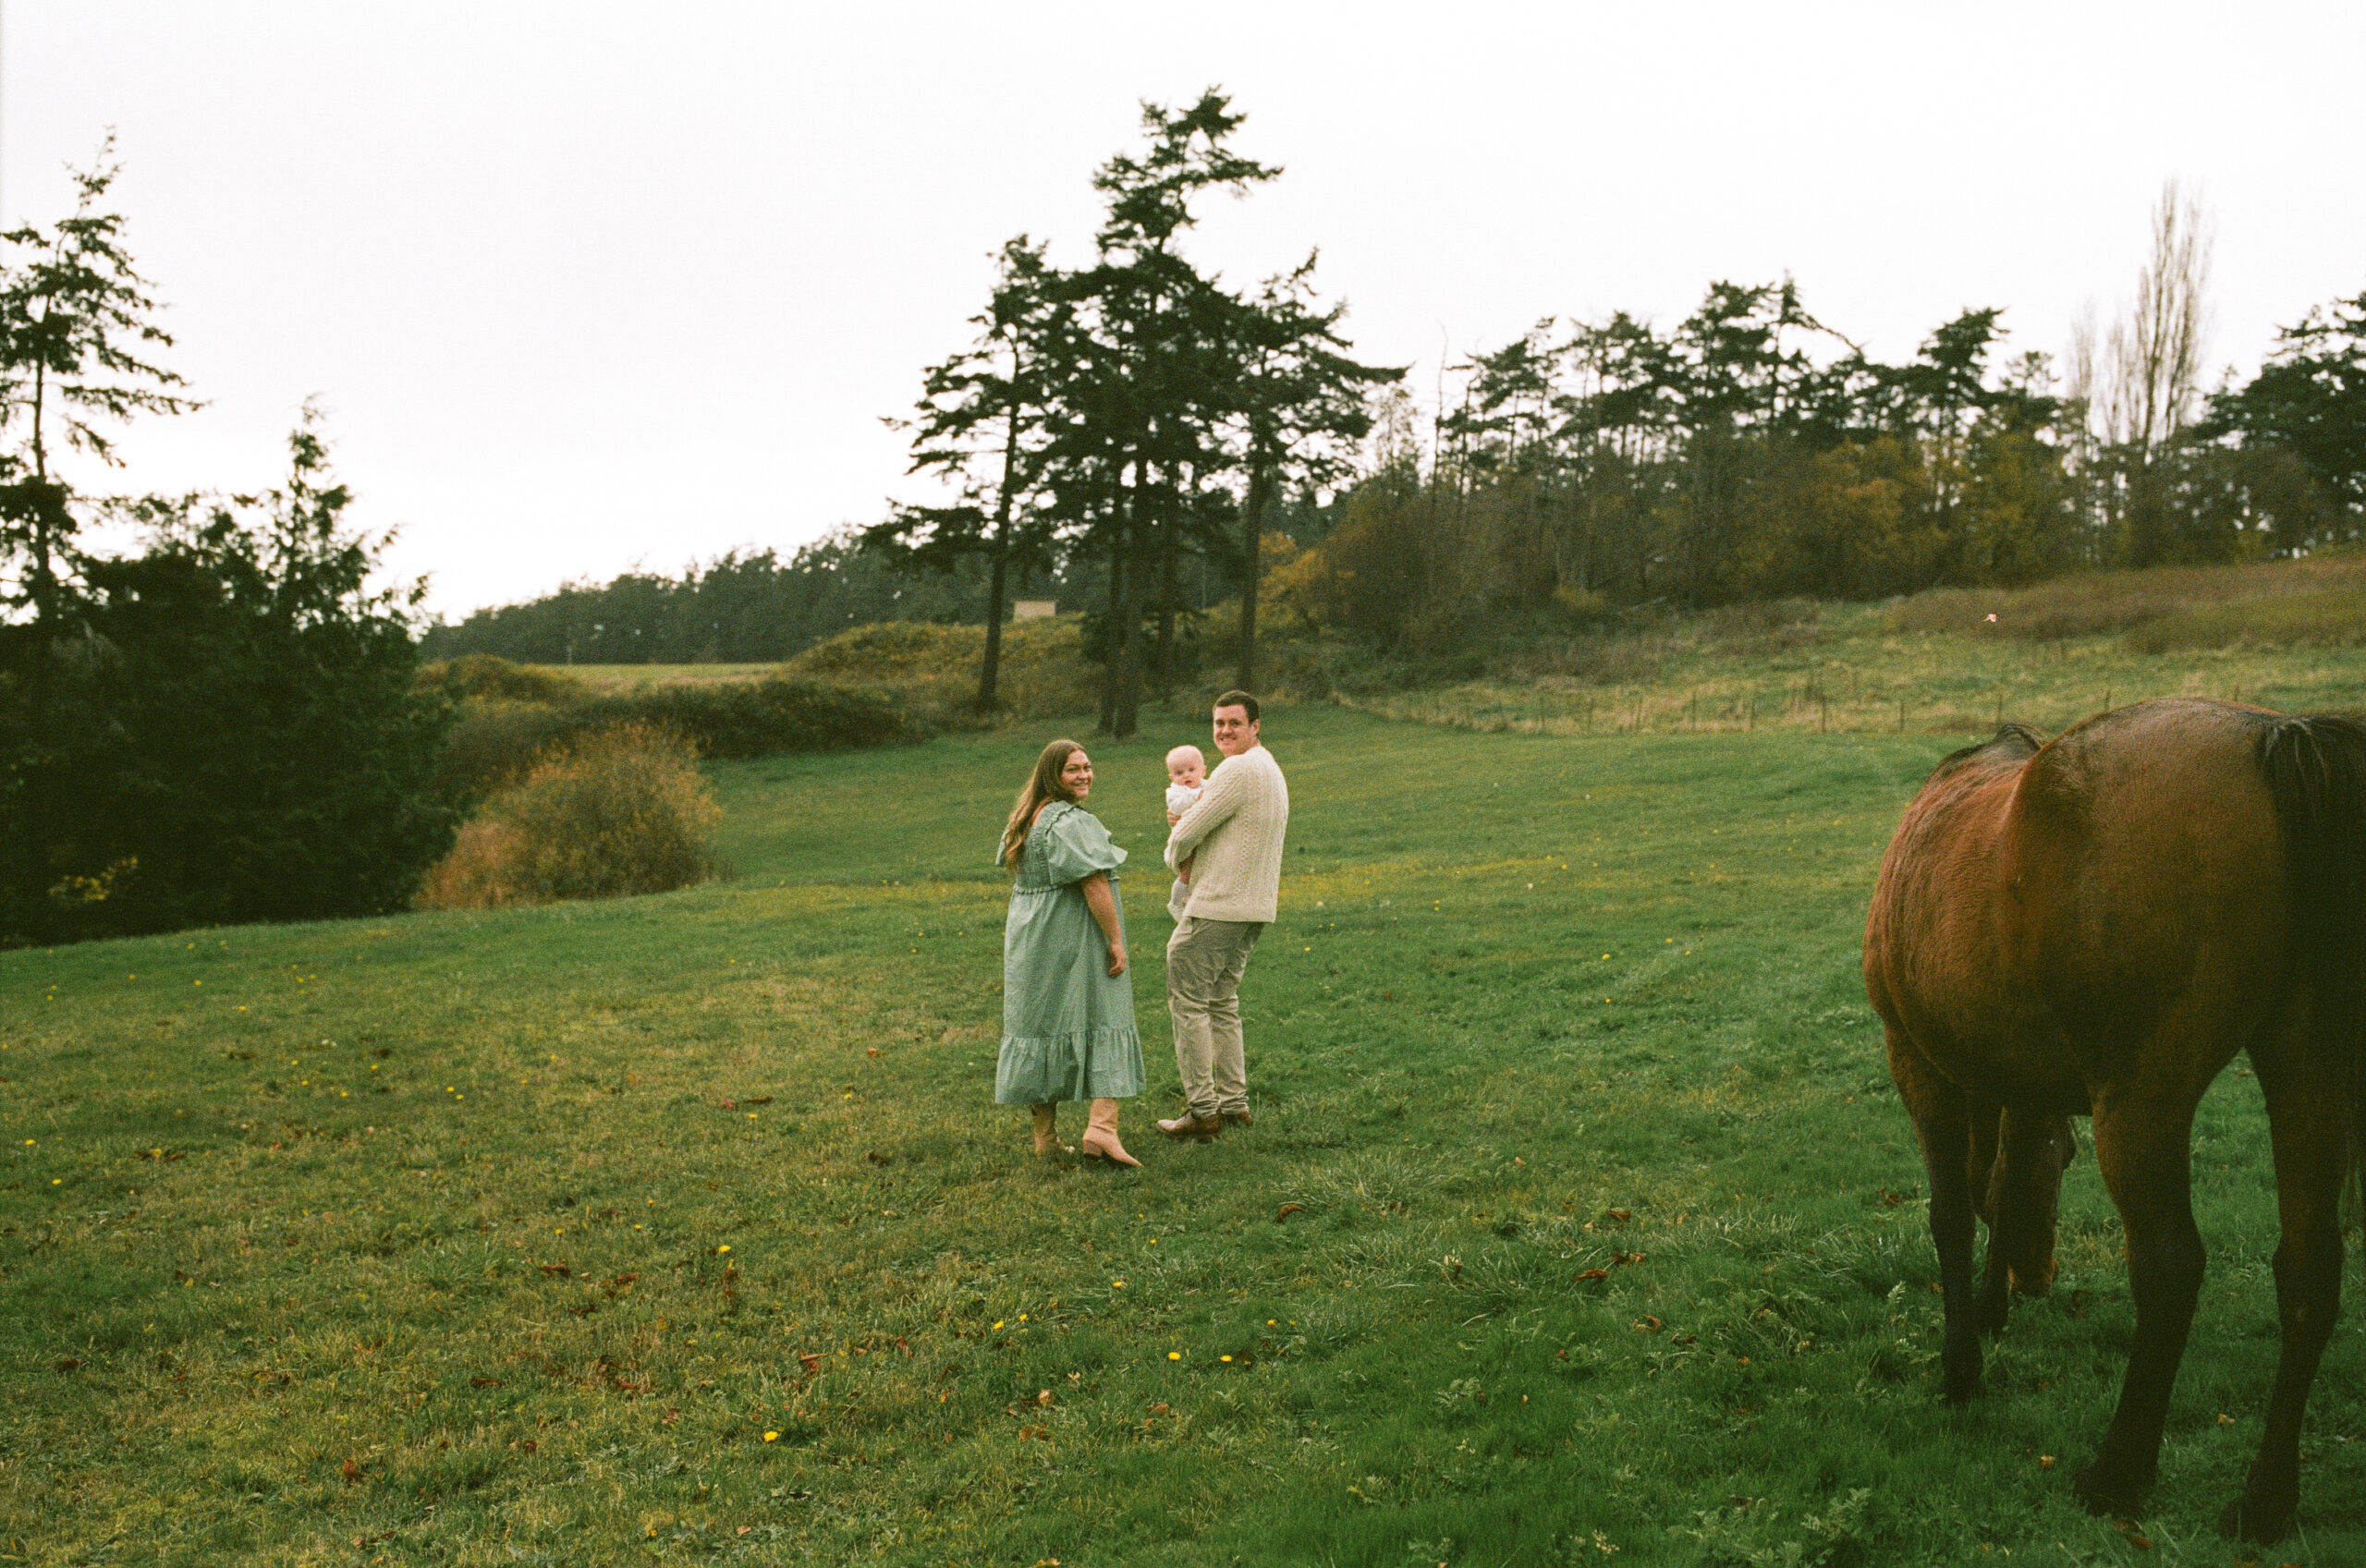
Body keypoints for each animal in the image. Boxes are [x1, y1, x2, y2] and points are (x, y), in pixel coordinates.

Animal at [1864, 699, 2366, 1541]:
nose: (2039, 1278)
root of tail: (2273, 736)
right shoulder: (2023, 1085)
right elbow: (2003, 1188)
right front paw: (1993, 1306)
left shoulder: (1917, 1061)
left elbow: (1953, 1211)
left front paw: (1961, 1367)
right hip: (2307, 1072)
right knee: (2308, 1269)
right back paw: (2265, 1500)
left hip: (2141, 1103)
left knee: (2169, 1266)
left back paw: (2118, 1472)